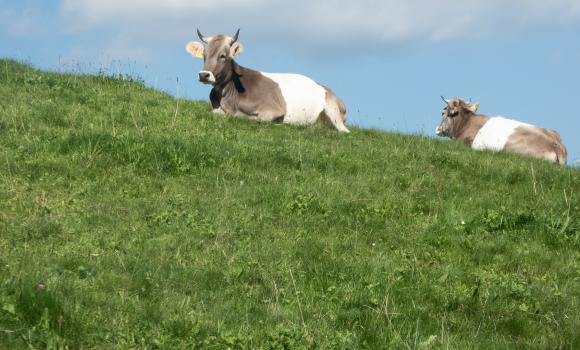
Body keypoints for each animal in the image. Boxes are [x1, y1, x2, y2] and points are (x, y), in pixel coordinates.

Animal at [186, 29, 348, 133]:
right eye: (204, 55)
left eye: (223, 55)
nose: (204, 75)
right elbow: (215, 112)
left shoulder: (274, 109)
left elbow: (256, 119)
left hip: (333, 111)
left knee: (344, 131)